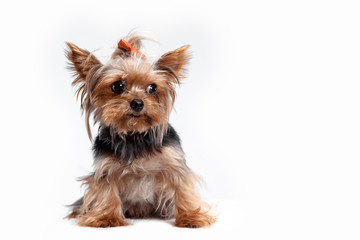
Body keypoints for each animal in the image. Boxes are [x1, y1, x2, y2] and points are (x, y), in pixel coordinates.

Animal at [66, 32, 215, 228]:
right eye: (118, 86)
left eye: (152, 88)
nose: (138, 103)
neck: (134, 134)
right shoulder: (106, 168)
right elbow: (106, 191)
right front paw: (105, 217)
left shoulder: (174, 164)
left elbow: (183, 189)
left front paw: (191, 216)